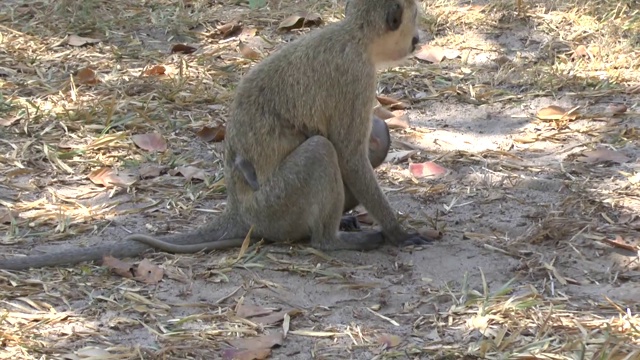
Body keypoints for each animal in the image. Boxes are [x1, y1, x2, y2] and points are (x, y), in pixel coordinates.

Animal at [0, 0, 436, 270]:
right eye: (412, 23)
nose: (419, 40)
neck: (354, 37)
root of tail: (238, 211)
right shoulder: (355, 77)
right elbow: (348, 154)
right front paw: (399, 232)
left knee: (372, 137)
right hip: (275, 205)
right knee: (321, 151)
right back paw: (331, 240)